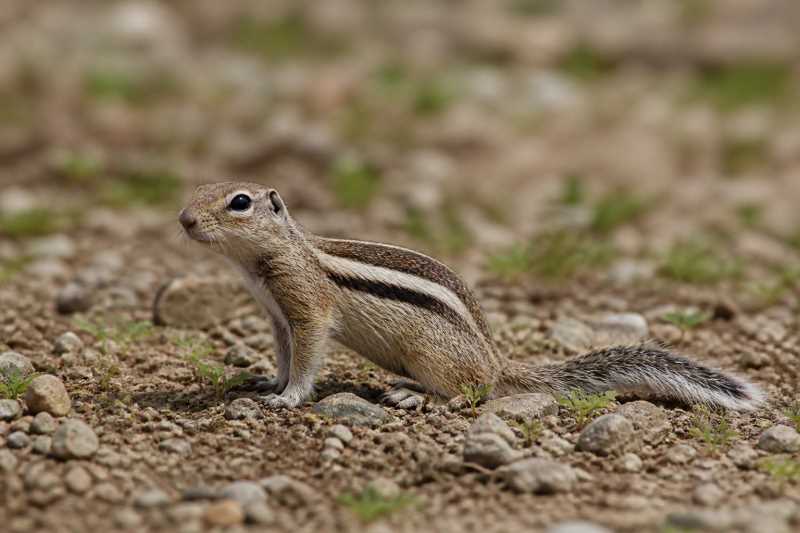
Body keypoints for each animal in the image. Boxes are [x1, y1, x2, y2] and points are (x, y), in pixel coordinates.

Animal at [178, 182, 764, 411]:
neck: (272, 254)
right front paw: (267, 381)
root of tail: (497, 360)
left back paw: (416, 394)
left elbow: (308, 357)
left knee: (473, 391)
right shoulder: (278, 317)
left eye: (238, 202)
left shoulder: (308, 310)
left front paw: (289, 397)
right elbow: (283, 354)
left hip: (431, 353)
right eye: (198, 190)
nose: (183, 219)